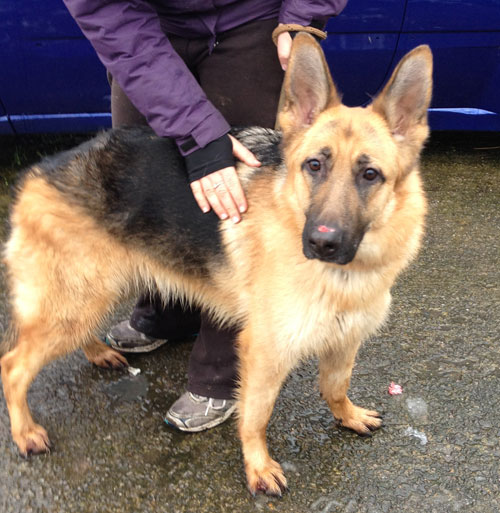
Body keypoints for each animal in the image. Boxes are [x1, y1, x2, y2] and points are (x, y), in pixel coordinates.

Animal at [0, 35, 432, 492]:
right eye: (314, 165)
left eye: (370, 175)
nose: (321, 243)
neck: (344, 274)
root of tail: (36, 173)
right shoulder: (265, 351)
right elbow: (256, 415)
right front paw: (258, 467)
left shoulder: (345, 338)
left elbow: (336, 384)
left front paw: (347, 416)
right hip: (81, 299)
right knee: (12, 365)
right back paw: (25, 432)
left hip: (98, 293)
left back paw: (97, 351)